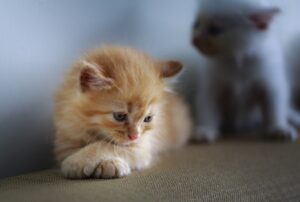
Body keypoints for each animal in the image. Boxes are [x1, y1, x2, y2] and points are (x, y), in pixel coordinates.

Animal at [53, 45, 192, 178]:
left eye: (148, 118)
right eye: (119, 116)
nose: (134, 136)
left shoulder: (141, 146)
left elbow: (107, 145)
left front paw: (77, 162)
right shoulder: (66, 141)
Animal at [191, 0, 298, 142]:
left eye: (215, 30)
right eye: (196, 24)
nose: (195, 40)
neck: (238, 62)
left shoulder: (272, 84)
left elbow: (274, 109)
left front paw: (279, 128)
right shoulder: (210, 87)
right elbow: (207, 109)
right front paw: (206, 129)